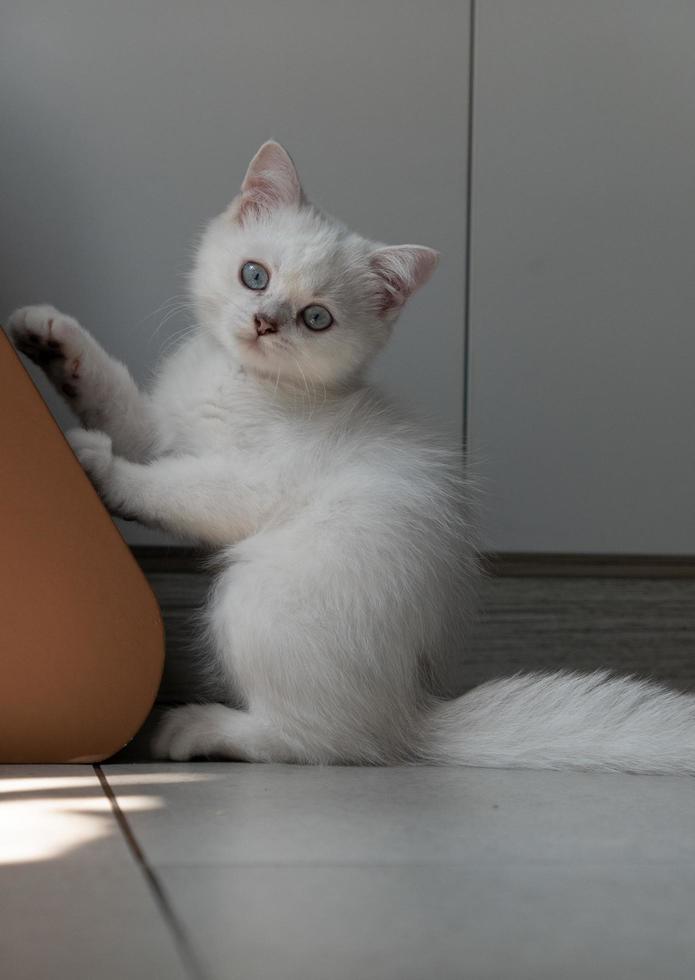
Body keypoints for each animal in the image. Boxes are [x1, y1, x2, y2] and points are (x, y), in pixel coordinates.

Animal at [10, 144, 695, 772]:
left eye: (316, 318)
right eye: (254, 275)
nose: (265, 321)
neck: (240, 379)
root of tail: (407, 715)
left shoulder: (258, 481)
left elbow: (177, 486)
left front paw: (98, 466)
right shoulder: (164, 431)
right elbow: (119, 405)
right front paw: (48, 336)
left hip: (264, 592)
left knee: (321, 741)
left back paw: (196, 728)